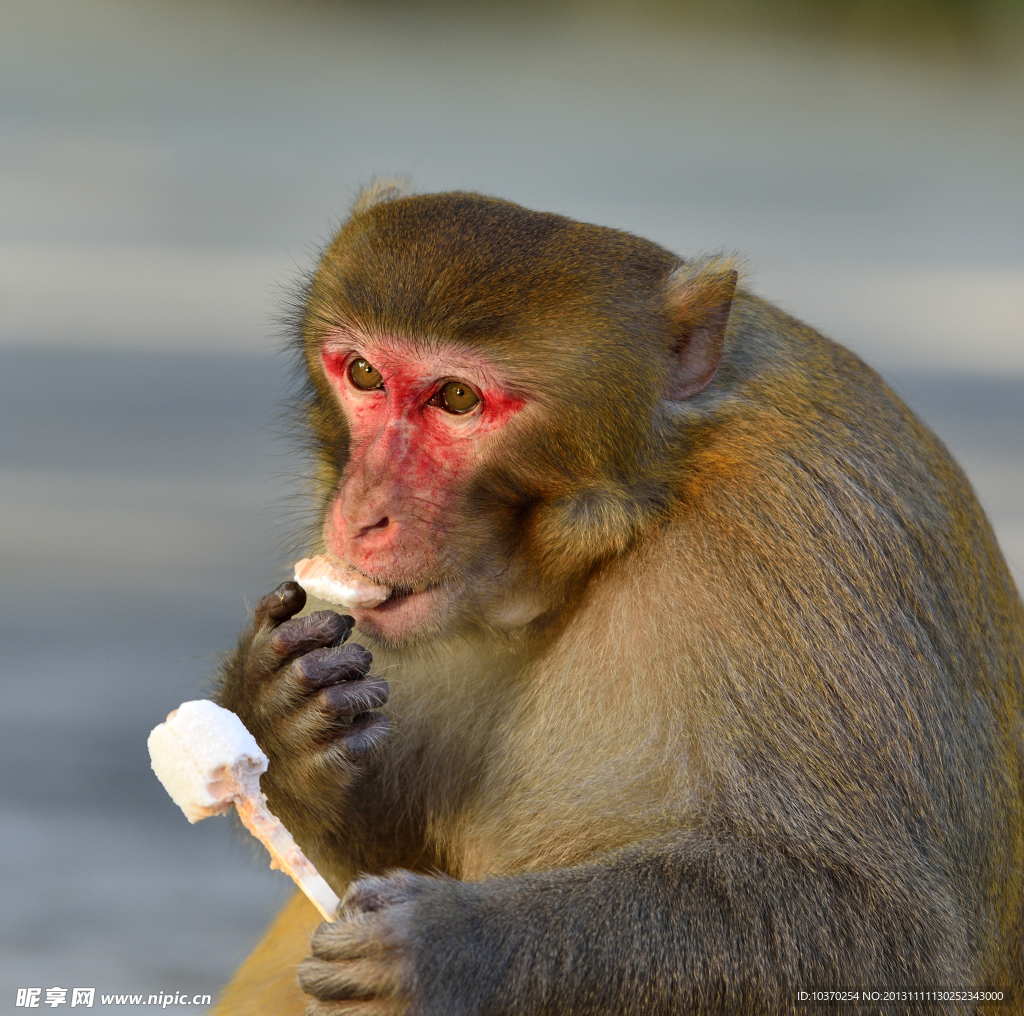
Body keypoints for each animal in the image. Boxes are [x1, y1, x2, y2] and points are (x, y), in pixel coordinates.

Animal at [209, 184, 1024, 1016]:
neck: (641, 509)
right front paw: (283, 727)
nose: (364, 511)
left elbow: (885, 933)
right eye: (365, 374)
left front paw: (441, 948)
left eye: (457, 398)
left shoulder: (805, 534)